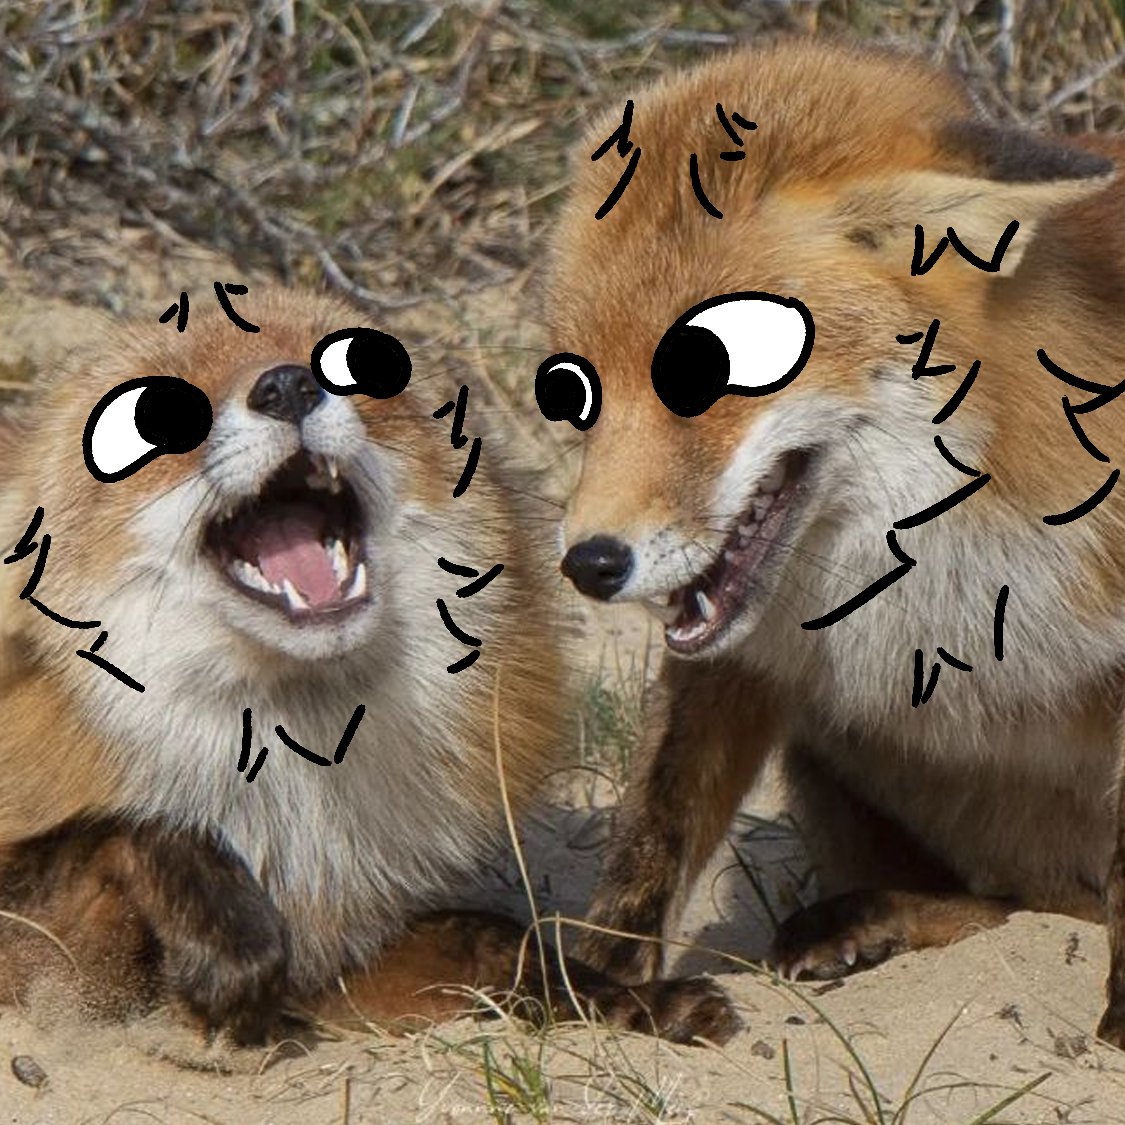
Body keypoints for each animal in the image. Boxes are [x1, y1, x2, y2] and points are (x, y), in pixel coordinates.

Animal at [0, 287, 735, 1046]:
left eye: (354, 362)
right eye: (151, 415)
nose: (287, 386)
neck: (290, 801)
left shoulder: (339, 955)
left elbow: (495, 936)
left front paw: (635, 999)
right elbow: (143, 827)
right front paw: (231, 948)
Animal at [537, 40, 1125, 1046]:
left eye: (712, 368)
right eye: (574, 389)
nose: (590, 564)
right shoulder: (738, 654)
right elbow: (653, 828)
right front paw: (598, 987)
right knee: (1015, 904)